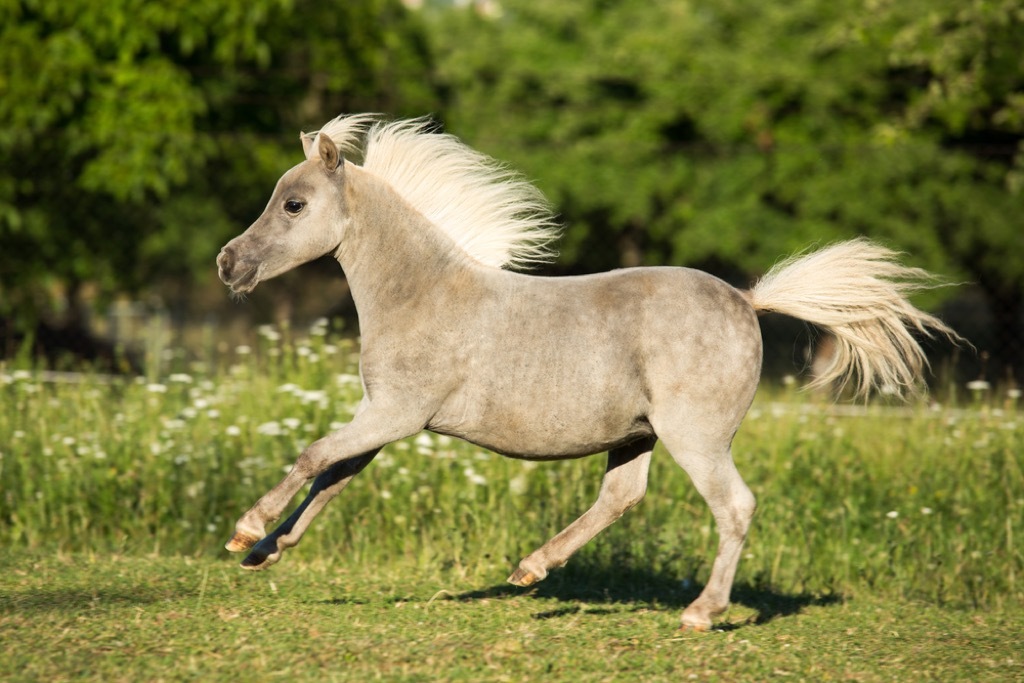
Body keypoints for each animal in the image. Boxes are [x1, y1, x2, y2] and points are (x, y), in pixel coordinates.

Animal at [218, 114, 958, 634]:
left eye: (292, 205)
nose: (229, 264)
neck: (421, 293)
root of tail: (749, 302)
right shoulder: (386, 418)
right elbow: (333, 477)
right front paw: (268, 553)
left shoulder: (395, 413)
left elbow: (314, 455)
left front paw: (246, 531)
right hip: (637, 434)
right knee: (622, 497)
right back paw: (530, 568)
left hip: (695, 436)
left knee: (734, 506)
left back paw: (699, 612)